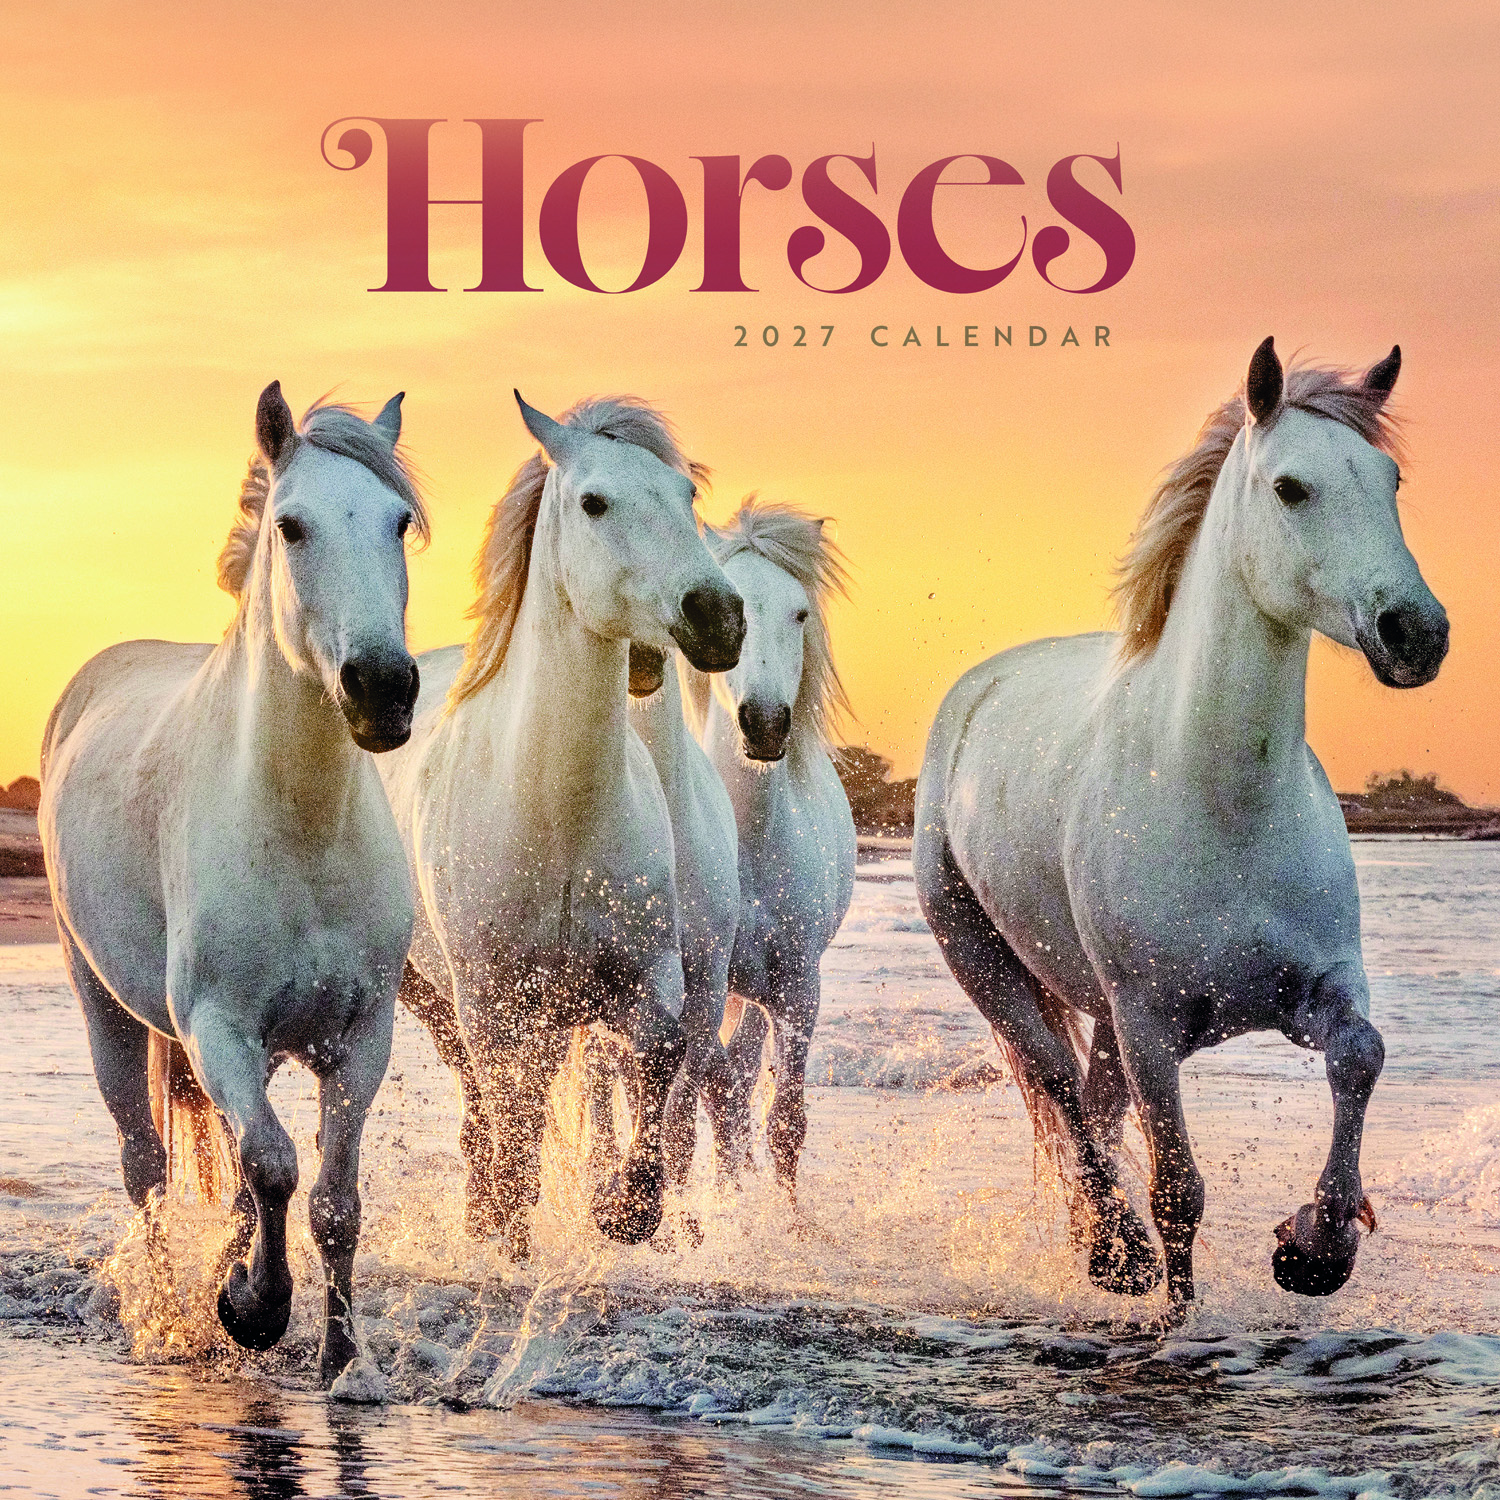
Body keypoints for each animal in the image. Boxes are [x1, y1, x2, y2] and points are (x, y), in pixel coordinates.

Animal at [40, 383, 426, 1382]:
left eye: (398, 522)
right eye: (291, 526)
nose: (382, 688)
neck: (299, 831)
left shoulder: (360, 1038)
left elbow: (330, 1199)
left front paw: (340, 1361)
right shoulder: (217, 1028)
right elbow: (278, 1167)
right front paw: (253, 1309)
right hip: (105, 1006)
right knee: (147, 1166)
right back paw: (174, 1314)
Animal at [378, 393, 745, 1259]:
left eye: (686, 496)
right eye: (594, 503)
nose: (718, 616)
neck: (559, 818)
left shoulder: (650, 980)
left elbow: (659, 1060)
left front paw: (625, 1210)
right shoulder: (492, 999)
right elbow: (513, 1116)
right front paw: (514, 1228)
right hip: (435, 996)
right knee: (486, 1105)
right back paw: (487, 1219)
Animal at [914, 339, 1448, 1309]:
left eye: (1389, 478)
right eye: (1290, 488)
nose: (1415, 633)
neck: (1221, 805)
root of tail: (976, 691)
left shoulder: (1316, 989)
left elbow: (1361, 1055)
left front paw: (1314, 1248)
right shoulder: (1152, 1024)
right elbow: (1179, 1193)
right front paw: (1179, 1306)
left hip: (1102, 1015)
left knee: (1091, 1104)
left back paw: (1098, 1243)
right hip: (986, 960)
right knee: (1056, 1082)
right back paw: (1114, 1250)